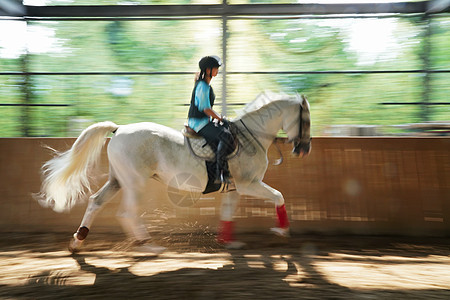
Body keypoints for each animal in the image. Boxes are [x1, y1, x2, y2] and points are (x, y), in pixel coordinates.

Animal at [37, 91, 312, 253]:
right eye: (305, 119)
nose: (304, 149)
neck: (249, 137)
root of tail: (119, 128)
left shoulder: (235, 188)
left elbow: (228, 212)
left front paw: (227, 242)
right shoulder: (248, 184)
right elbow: (278, 196)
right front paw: (282, 231)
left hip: (118, 180)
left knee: (95, 202)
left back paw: (77, 241)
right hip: (134, 183)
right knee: (127, 212)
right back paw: (148, 245)